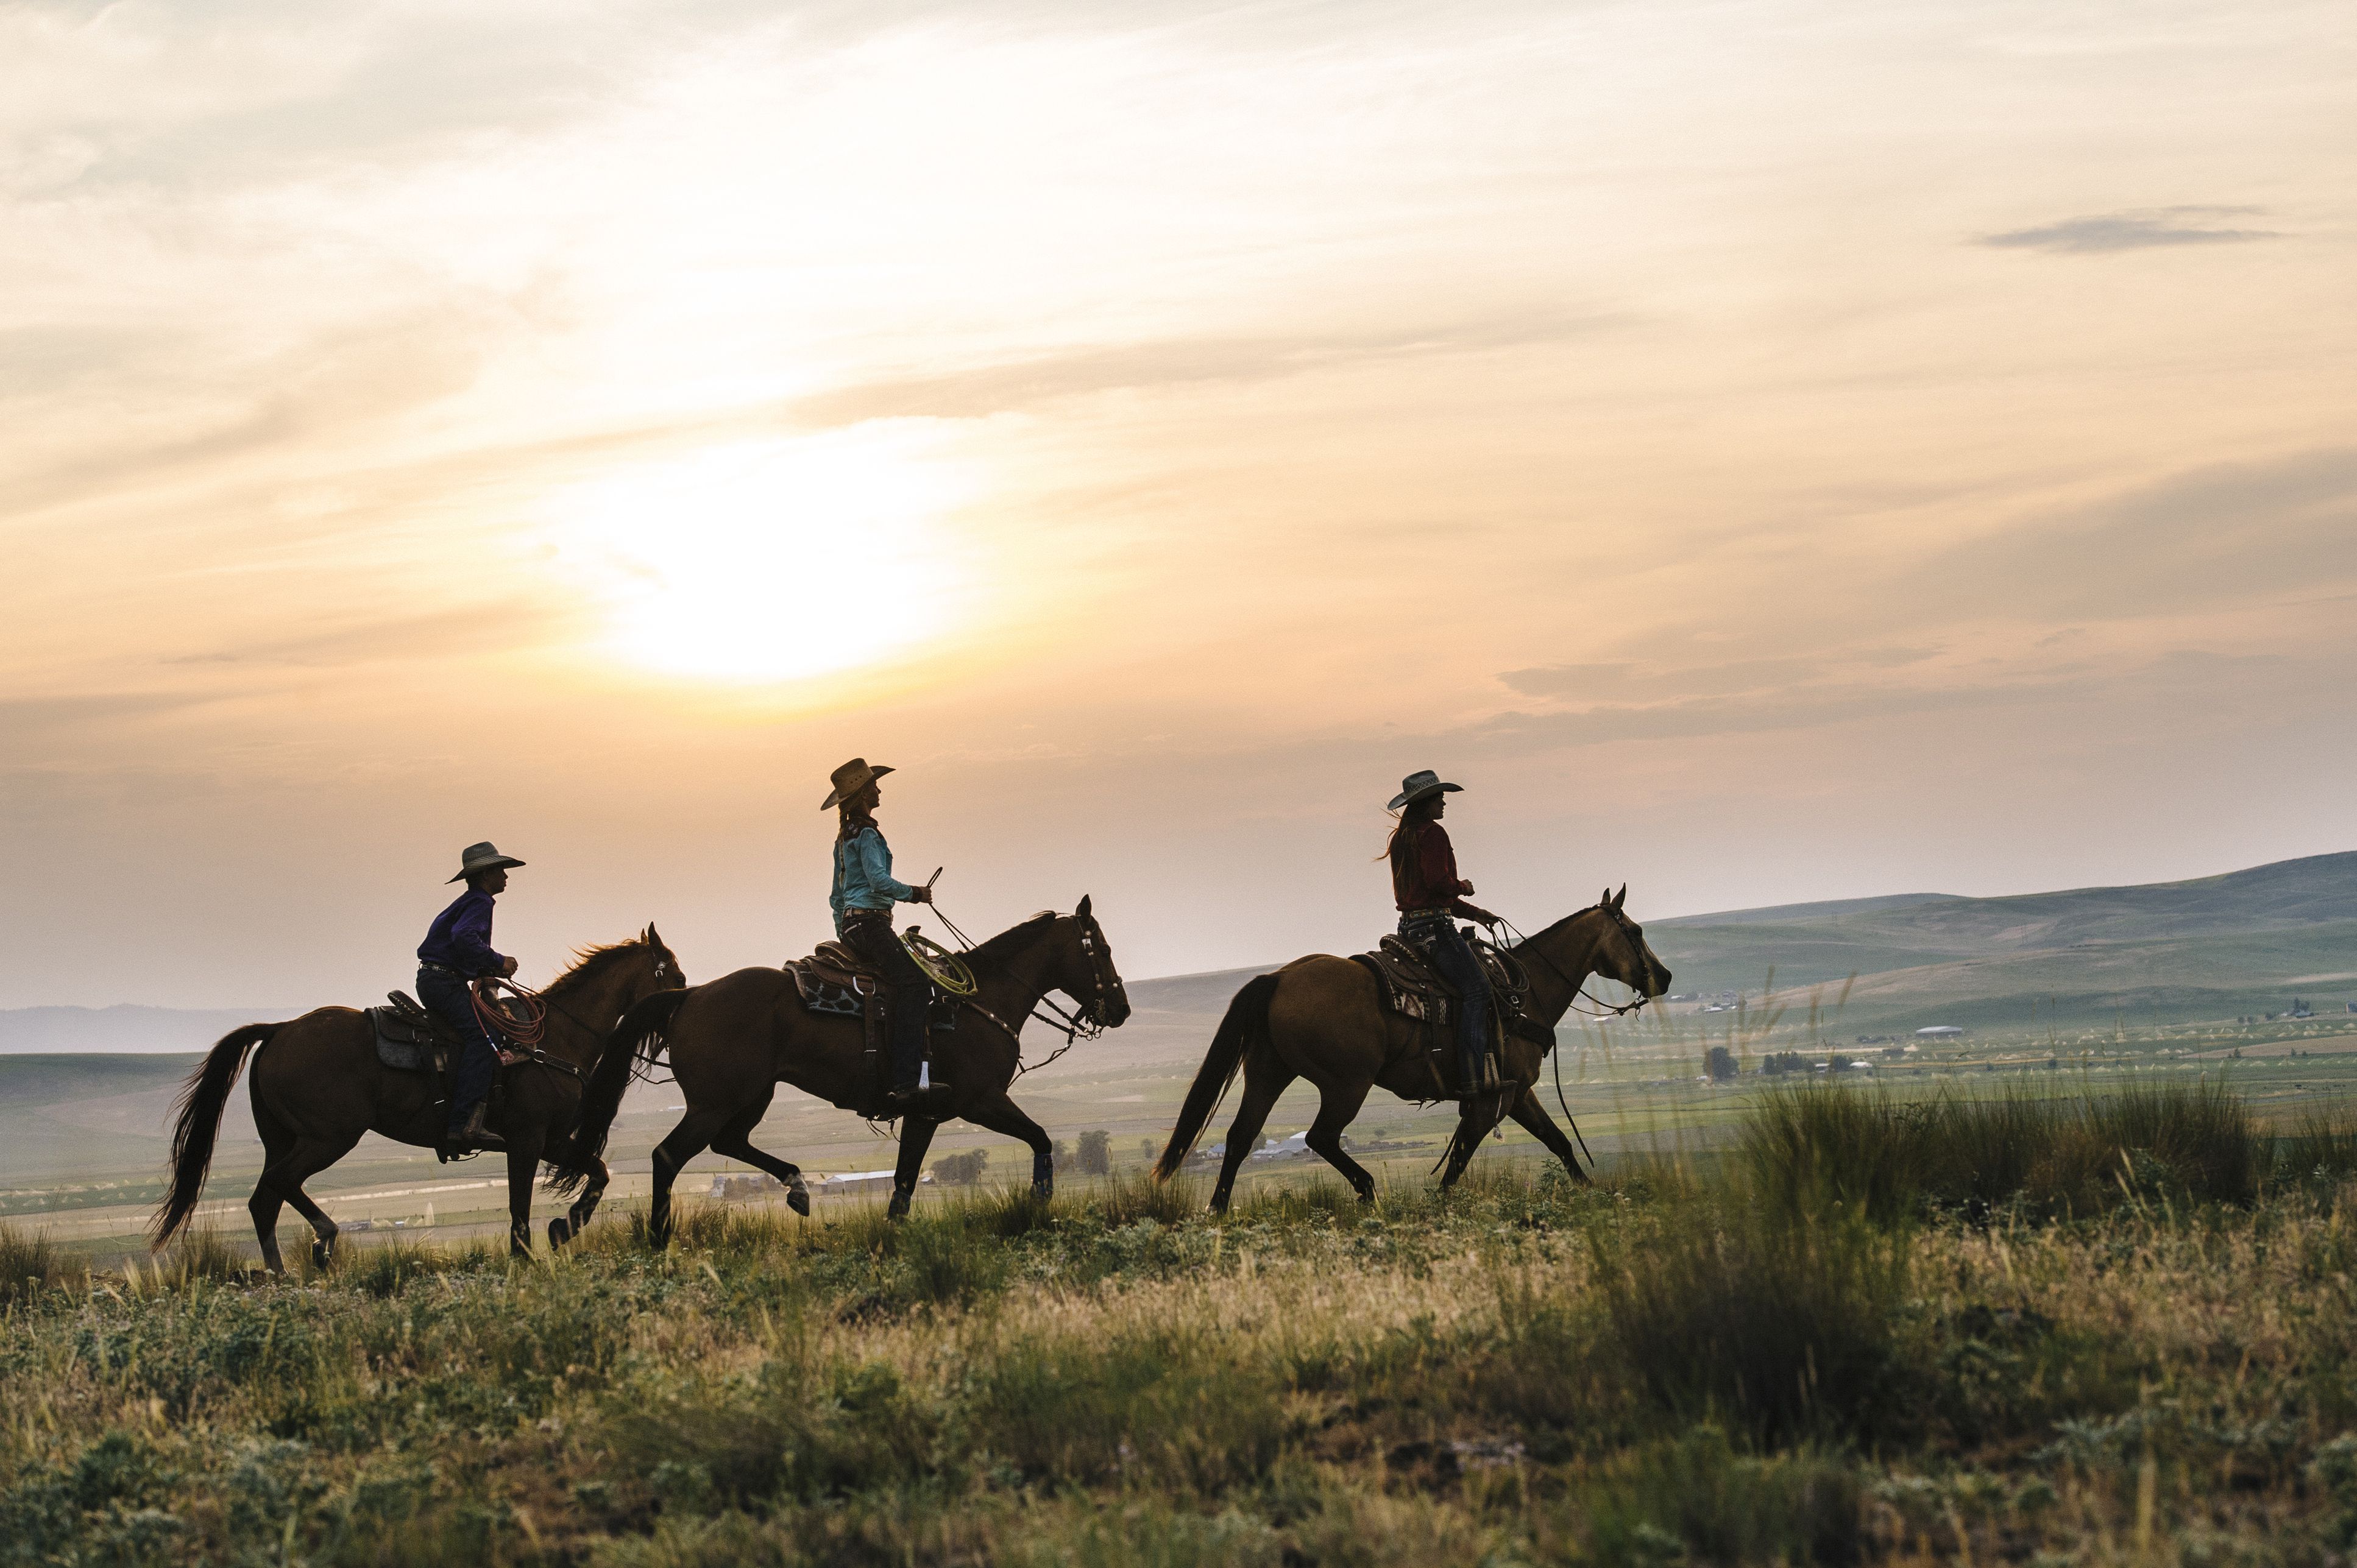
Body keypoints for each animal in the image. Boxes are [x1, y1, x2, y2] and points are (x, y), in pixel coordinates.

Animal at [153, 929, 688, 1273]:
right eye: (675, 976)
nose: (684, 1010)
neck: (551, 1039)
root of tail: (280, 1029)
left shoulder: (553, 1140)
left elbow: (599, 1172)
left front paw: (563, 1228)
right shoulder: (527, 1139)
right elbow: (520, 1202)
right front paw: (528, 1253)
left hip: (283, 1139)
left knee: (267, 1195)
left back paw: (291, 1263)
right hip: (328, 1137)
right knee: (278, 1187)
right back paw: (312, 1249)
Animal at [561, 900, 1131, 1245]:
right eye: (1101, 950)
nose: (1122, 1010)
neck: (978, 1001)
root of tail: (690, 996)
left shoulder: (925, 1113)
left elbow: (903, 1183)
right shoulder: (981, 1101)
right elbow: (1040, 1137)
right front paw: (1040, 1200)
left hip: (751, 1095)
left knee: (730, 1142)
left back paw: (797, 1188)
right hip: (715, 1103)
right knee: (669, 1155)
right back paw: (658, 1239)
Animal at [1150, 881, 1668, 1207]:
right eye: (1636, 931)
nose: (1663, 976)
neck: (1525, 993)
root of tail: (1278, 978)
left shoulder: (1516, 1092)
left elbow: (1558, 1141)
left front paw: (1589, 1190)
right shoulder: (1491, 1100)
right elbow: (1459, 1159)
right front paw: (1439, 1205)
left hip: (1269, 1072)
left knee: (1240, 1138)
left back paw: (1218, 1211)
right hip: (1346, 1084)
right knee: (1320, 1137)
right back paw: (1367, 1187)